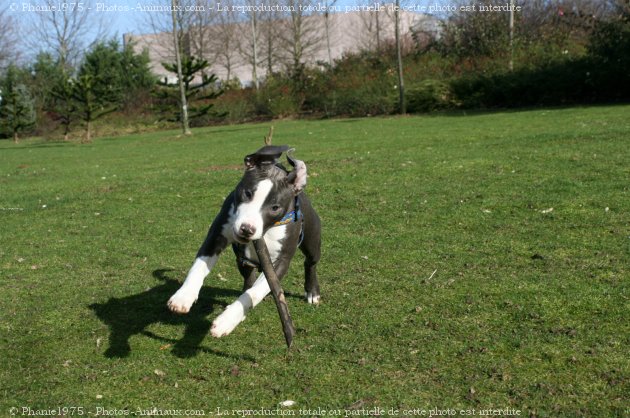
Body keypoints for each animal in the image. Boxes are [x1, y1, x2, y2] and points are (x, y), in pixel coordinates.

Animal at [168, 145, 320, 338]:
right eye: (248, 193)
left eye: (275, 207)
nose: (247, 229)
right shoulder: (216, 236)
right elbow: (198, 267)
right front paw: (184, 296)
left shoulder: (281, 261)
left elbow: (255, 292)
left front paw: (227, 321)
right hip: (243, 260)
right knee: (248, 277)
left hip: (312, 242)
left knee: (310, 263)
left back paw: (312, 291)